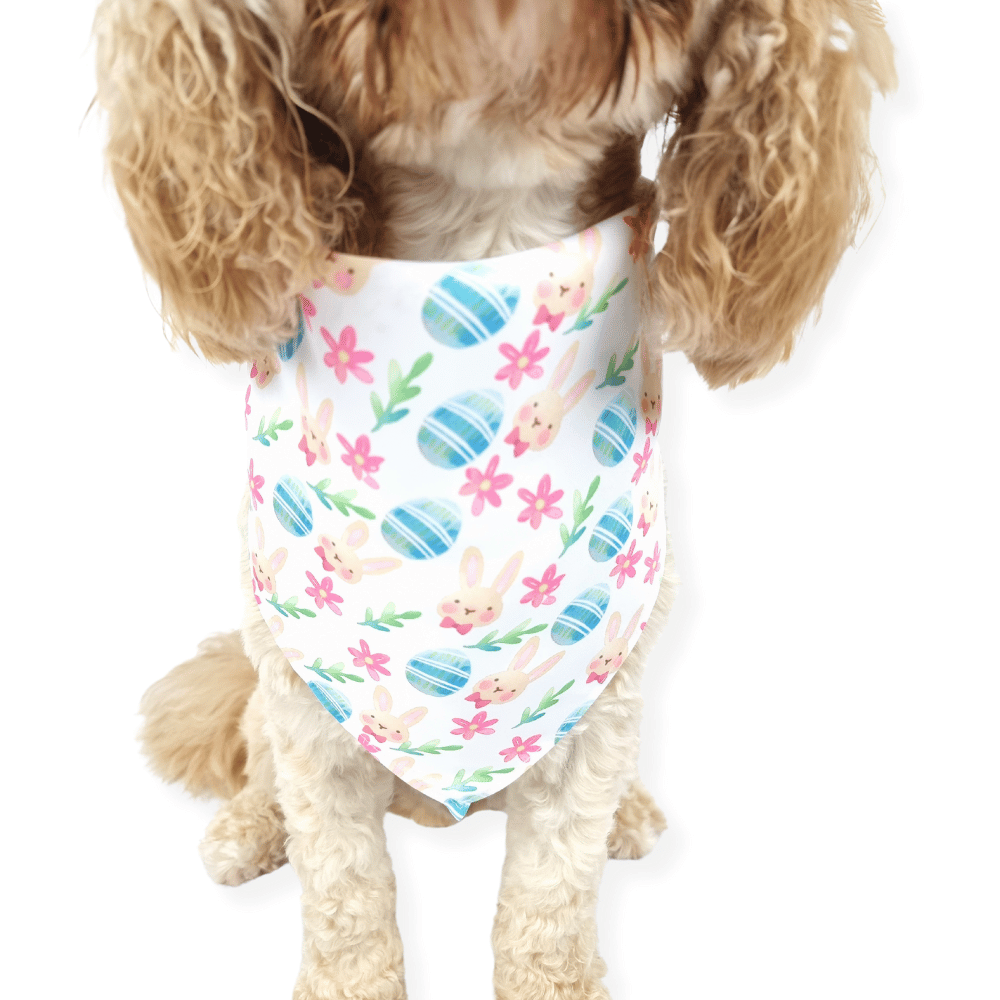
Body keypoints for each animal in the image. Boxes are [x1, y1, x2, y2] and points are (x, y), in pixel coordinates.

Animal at [94, 1, 894, 997]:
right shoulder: (309, 719)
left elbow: (551, 901)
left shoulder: (597, 716)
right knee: (254, 758)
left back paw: (632, 812)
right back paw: (247, 828)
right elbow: (346, 897)